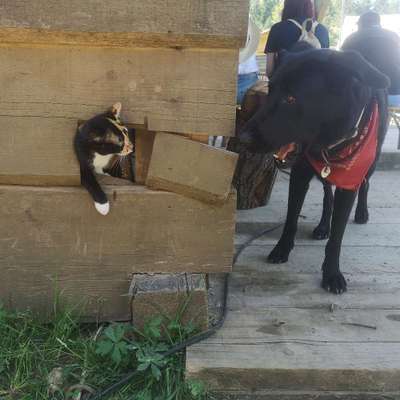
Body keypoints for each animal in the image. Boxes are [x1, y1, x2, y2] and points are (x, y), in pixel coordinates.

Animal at [239, 49, 390, 294]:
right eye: (270, 91)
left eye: (291, 98)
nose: (242, 138)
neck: (330, 145)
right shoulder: (300, 174)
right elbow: (291, 218)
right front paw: (282, 249)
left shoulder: (349, 182)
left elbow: (337, 235)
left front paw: (332, 273)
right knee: (328, 195)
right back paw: (322, 226)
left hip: (372, 163)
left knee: (365, 183)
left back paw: (361, 213)